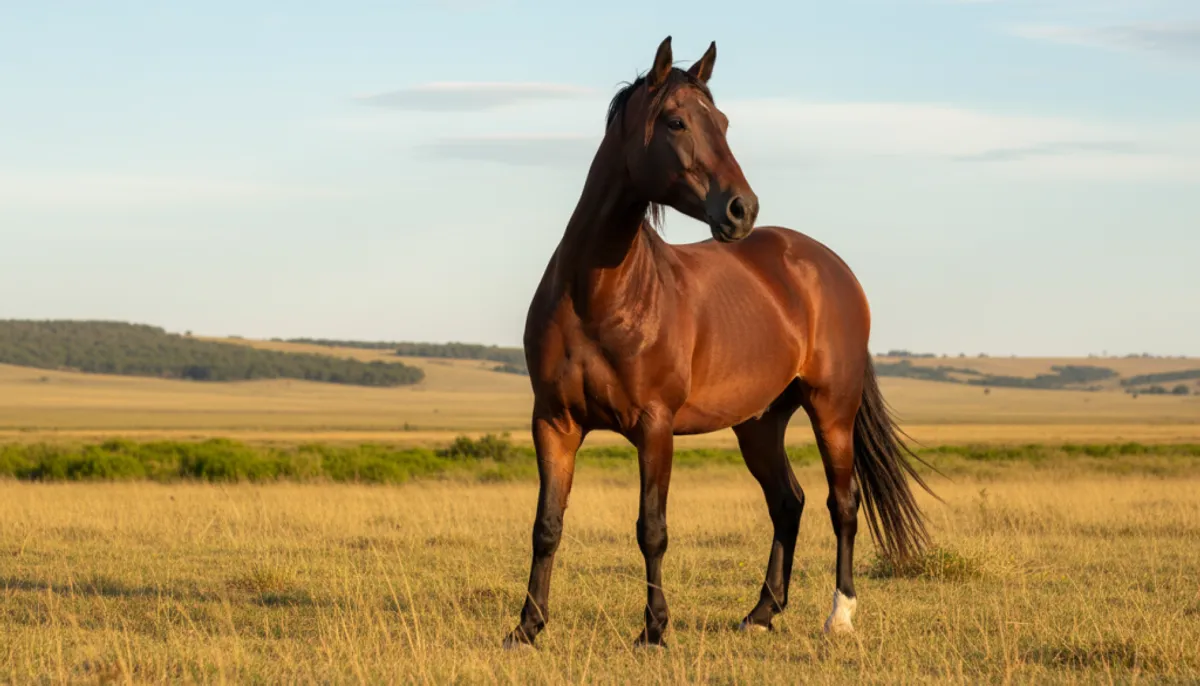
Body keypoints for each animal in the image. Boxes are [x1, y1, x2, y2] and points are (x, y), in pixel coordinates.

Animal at [503, 36, 936, 649]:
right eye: (676, 121)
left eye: (724, 122)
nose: (742, 210)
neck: (597, 294)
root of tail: (831, 266)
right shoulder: (554, 422)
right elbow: (547, 525)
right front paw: (527, 626)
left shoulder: (655, 426)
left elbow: (652, 528)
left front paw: (655, 630)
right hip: (759, 423)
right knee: (788, 502)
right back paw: (761, 612)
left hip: (832, 409)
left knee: (842, 504)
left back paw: (839, 616)